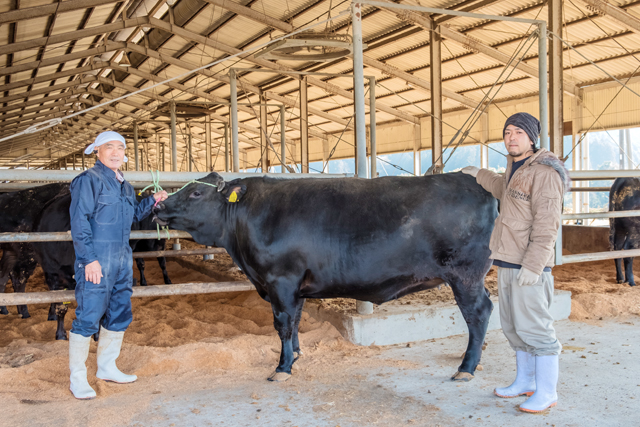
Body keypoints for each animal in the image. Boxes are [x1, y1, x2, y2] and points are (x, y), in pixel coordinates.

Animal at [152, 172, 498, 382]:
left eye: (196, 193)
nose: (158, 205)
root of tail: (473, 182)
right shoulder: (294, 286)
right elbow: (295, 321)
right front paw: (295, 355)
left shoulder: (280, 280)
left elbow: (282, 323)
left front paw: (282, 367)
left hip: (466, 273)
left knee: (479, 313)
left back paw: (466, 367)